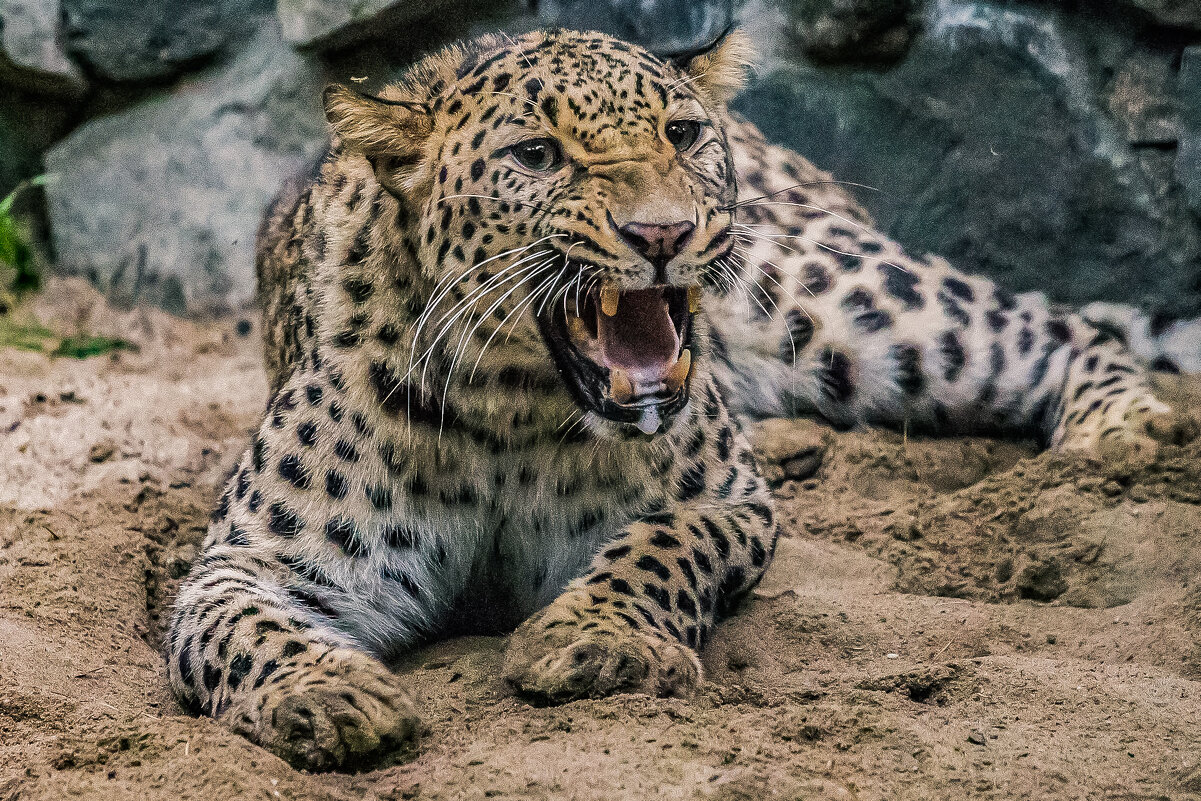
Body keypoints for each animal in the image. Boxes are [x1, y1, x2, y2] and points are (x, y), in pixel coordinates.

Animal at [164, 28, 1186, 773]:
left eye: (681, 136)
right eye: (536, 155)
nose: (662, 233)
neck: (513, 412)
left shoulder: (729, 500)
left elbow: (660, 543)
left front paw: (594, 639)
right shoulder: (247, 563)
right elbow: (246, 629)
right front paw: (331, 696)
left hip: (841, 306)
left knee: (1051, 323)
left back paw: (1124, 428)